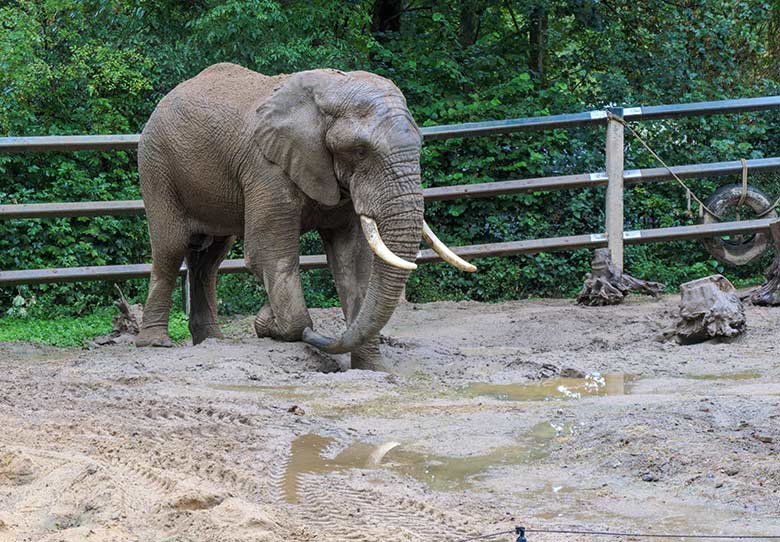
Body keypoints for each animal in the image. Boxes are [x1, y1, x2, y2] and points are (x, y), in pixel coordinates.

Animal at [136, 62, 472, 370]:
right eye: (360, 150)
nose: (265, 317)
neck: (328, 94)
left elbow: (352, 259)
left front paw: (371, 369)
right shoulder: (266, 167)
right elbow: (267, 251)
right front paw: (274, 324)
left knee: (210, 258)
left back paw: (212, 340)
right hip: (156, 165)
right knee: (171, 247)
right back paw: (156, 343)